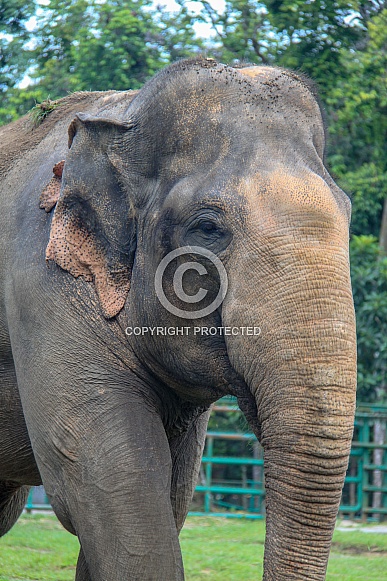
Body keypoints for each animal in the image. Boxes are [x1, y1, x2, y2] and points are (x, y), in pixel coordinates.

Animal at [0, 60, 358, 580]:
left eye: (348, 213)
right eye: (207, 227)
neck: (124, 116)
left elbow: (164, 499)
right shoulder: (40, 281)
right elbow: (113, 494)